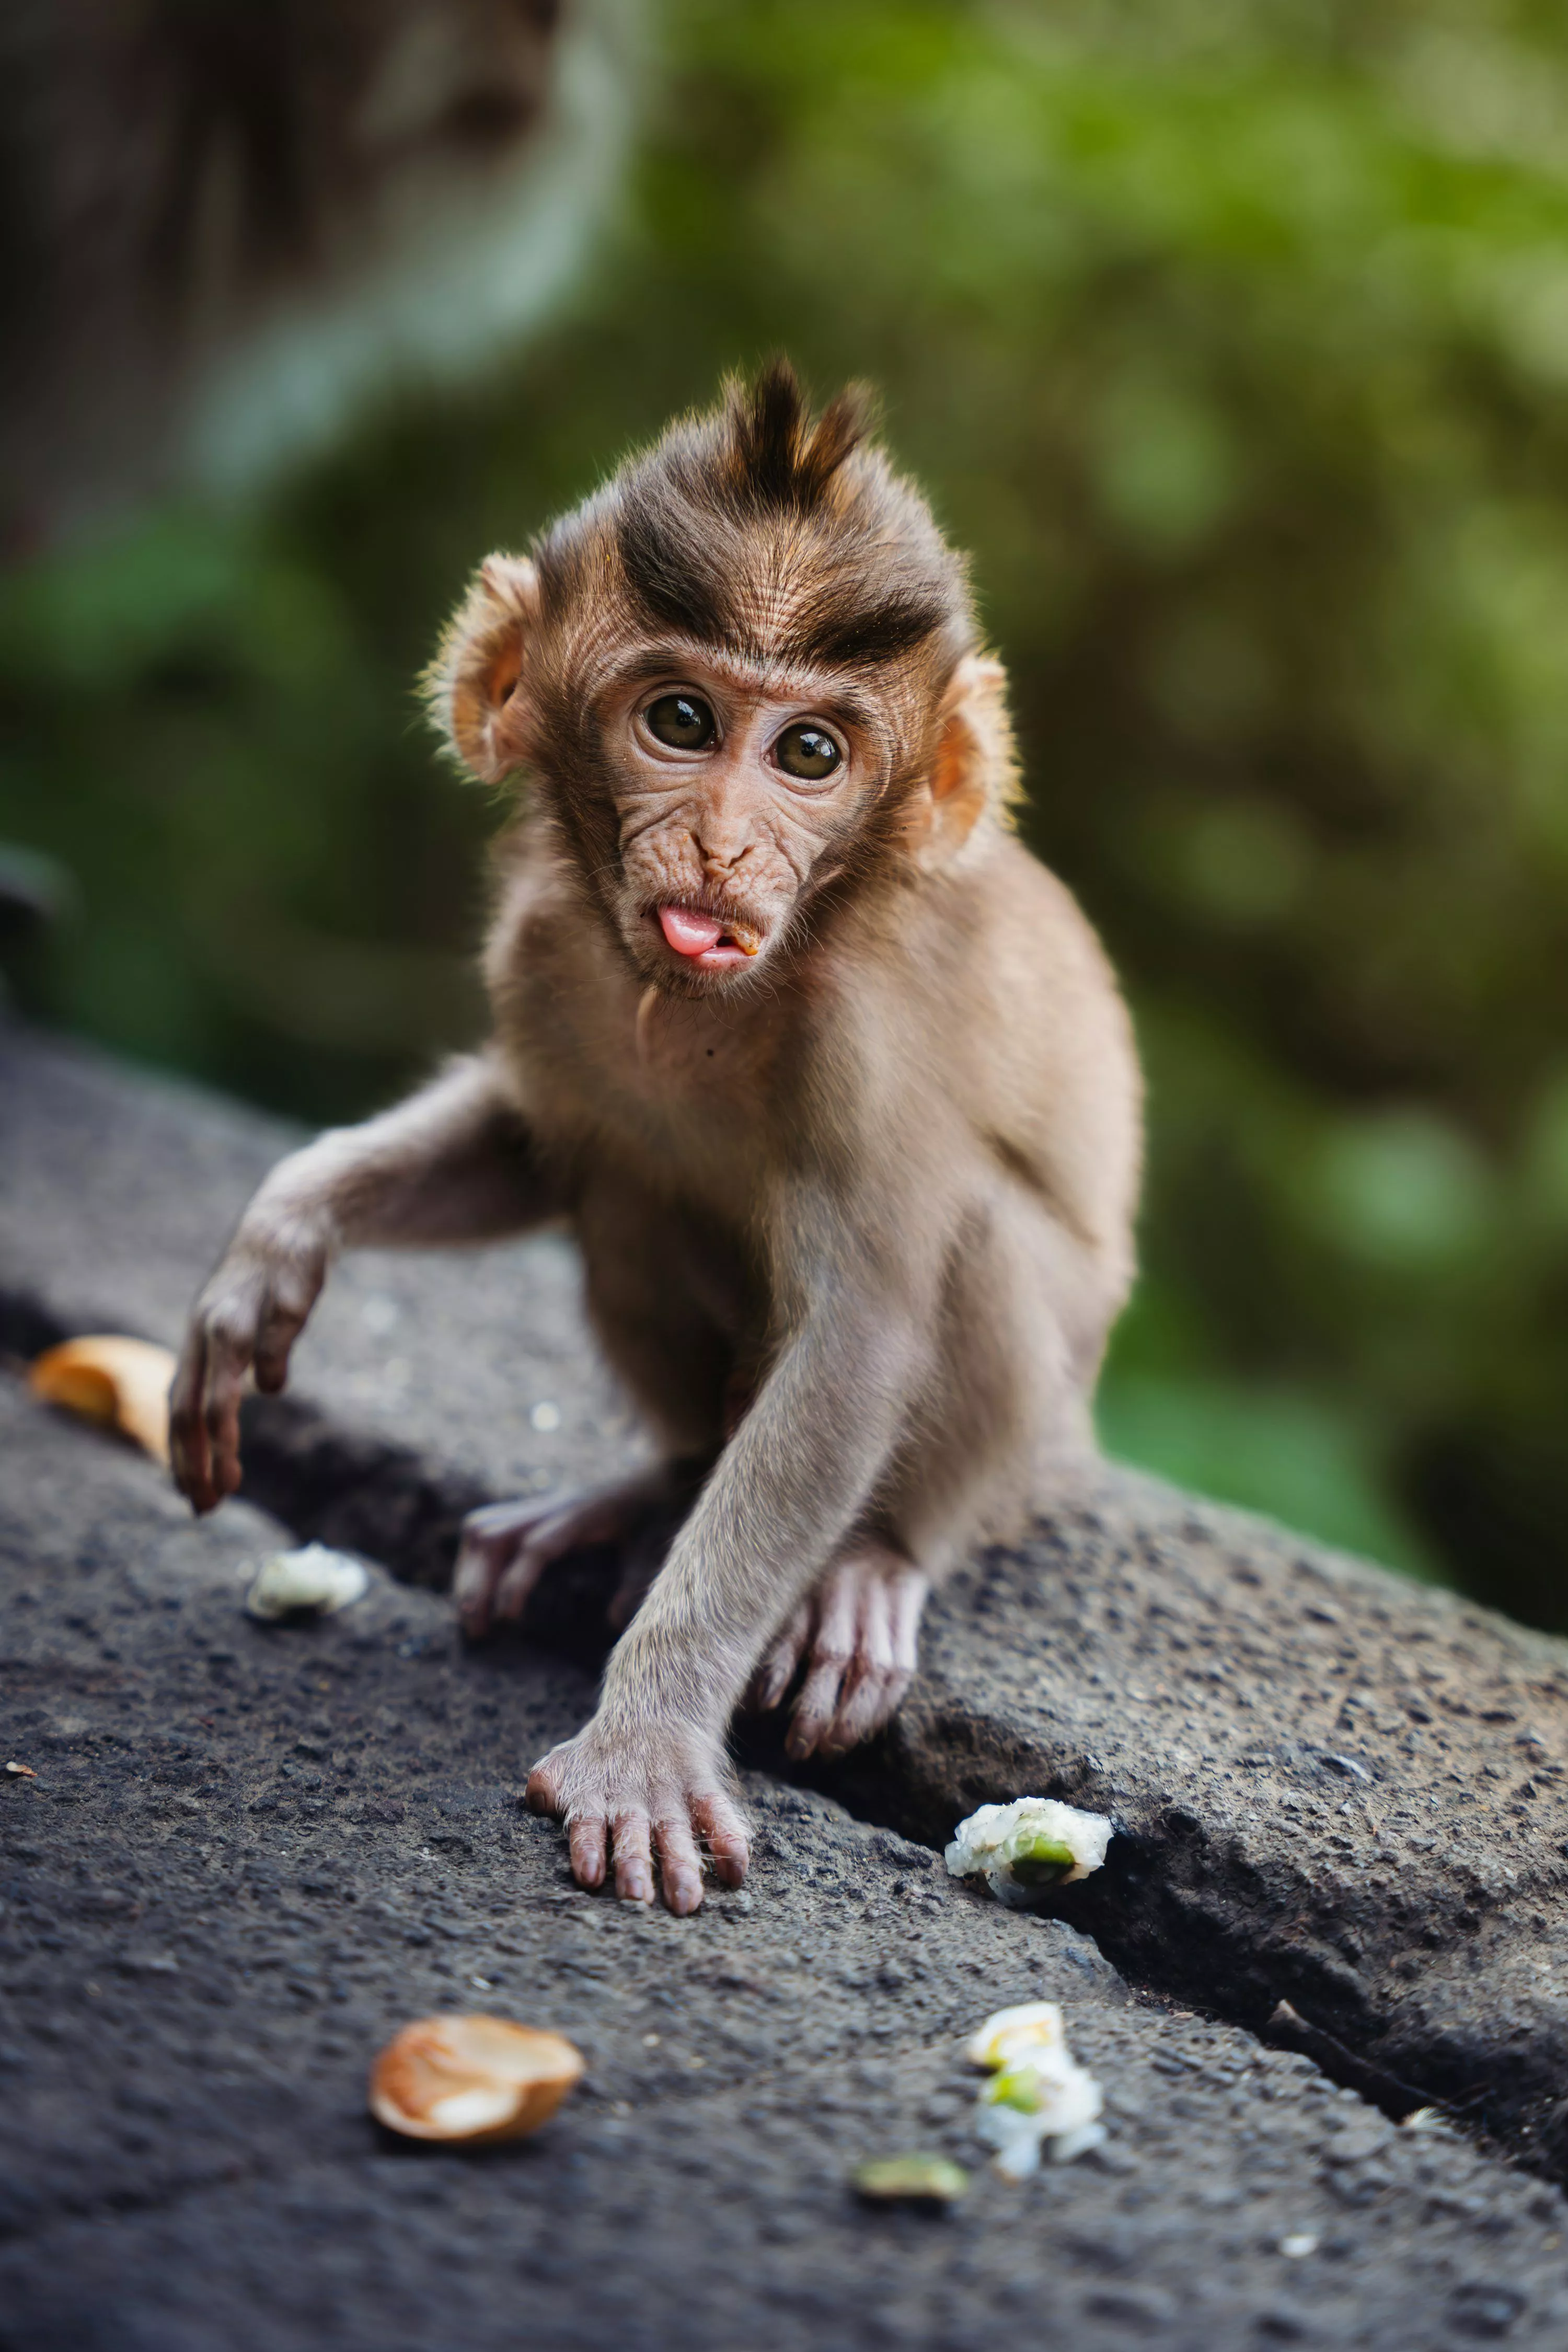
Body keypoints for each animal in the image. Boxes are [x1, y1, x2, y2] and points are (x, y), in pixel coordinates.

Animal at [170, 362, 1142, 1915]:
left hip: (1043, 1432)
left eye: (808, 753)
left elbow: (861, 1336)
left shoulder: (874, 1037)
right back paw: (646, 1486)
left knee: (966, 1257)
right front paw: (276, 1239)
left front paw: (647, 1734)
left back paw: (871, 1562)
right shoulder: (543, 952)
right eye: (679, 721)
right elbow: (529, 1142)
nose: (726, 847)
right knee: (622, 1186)